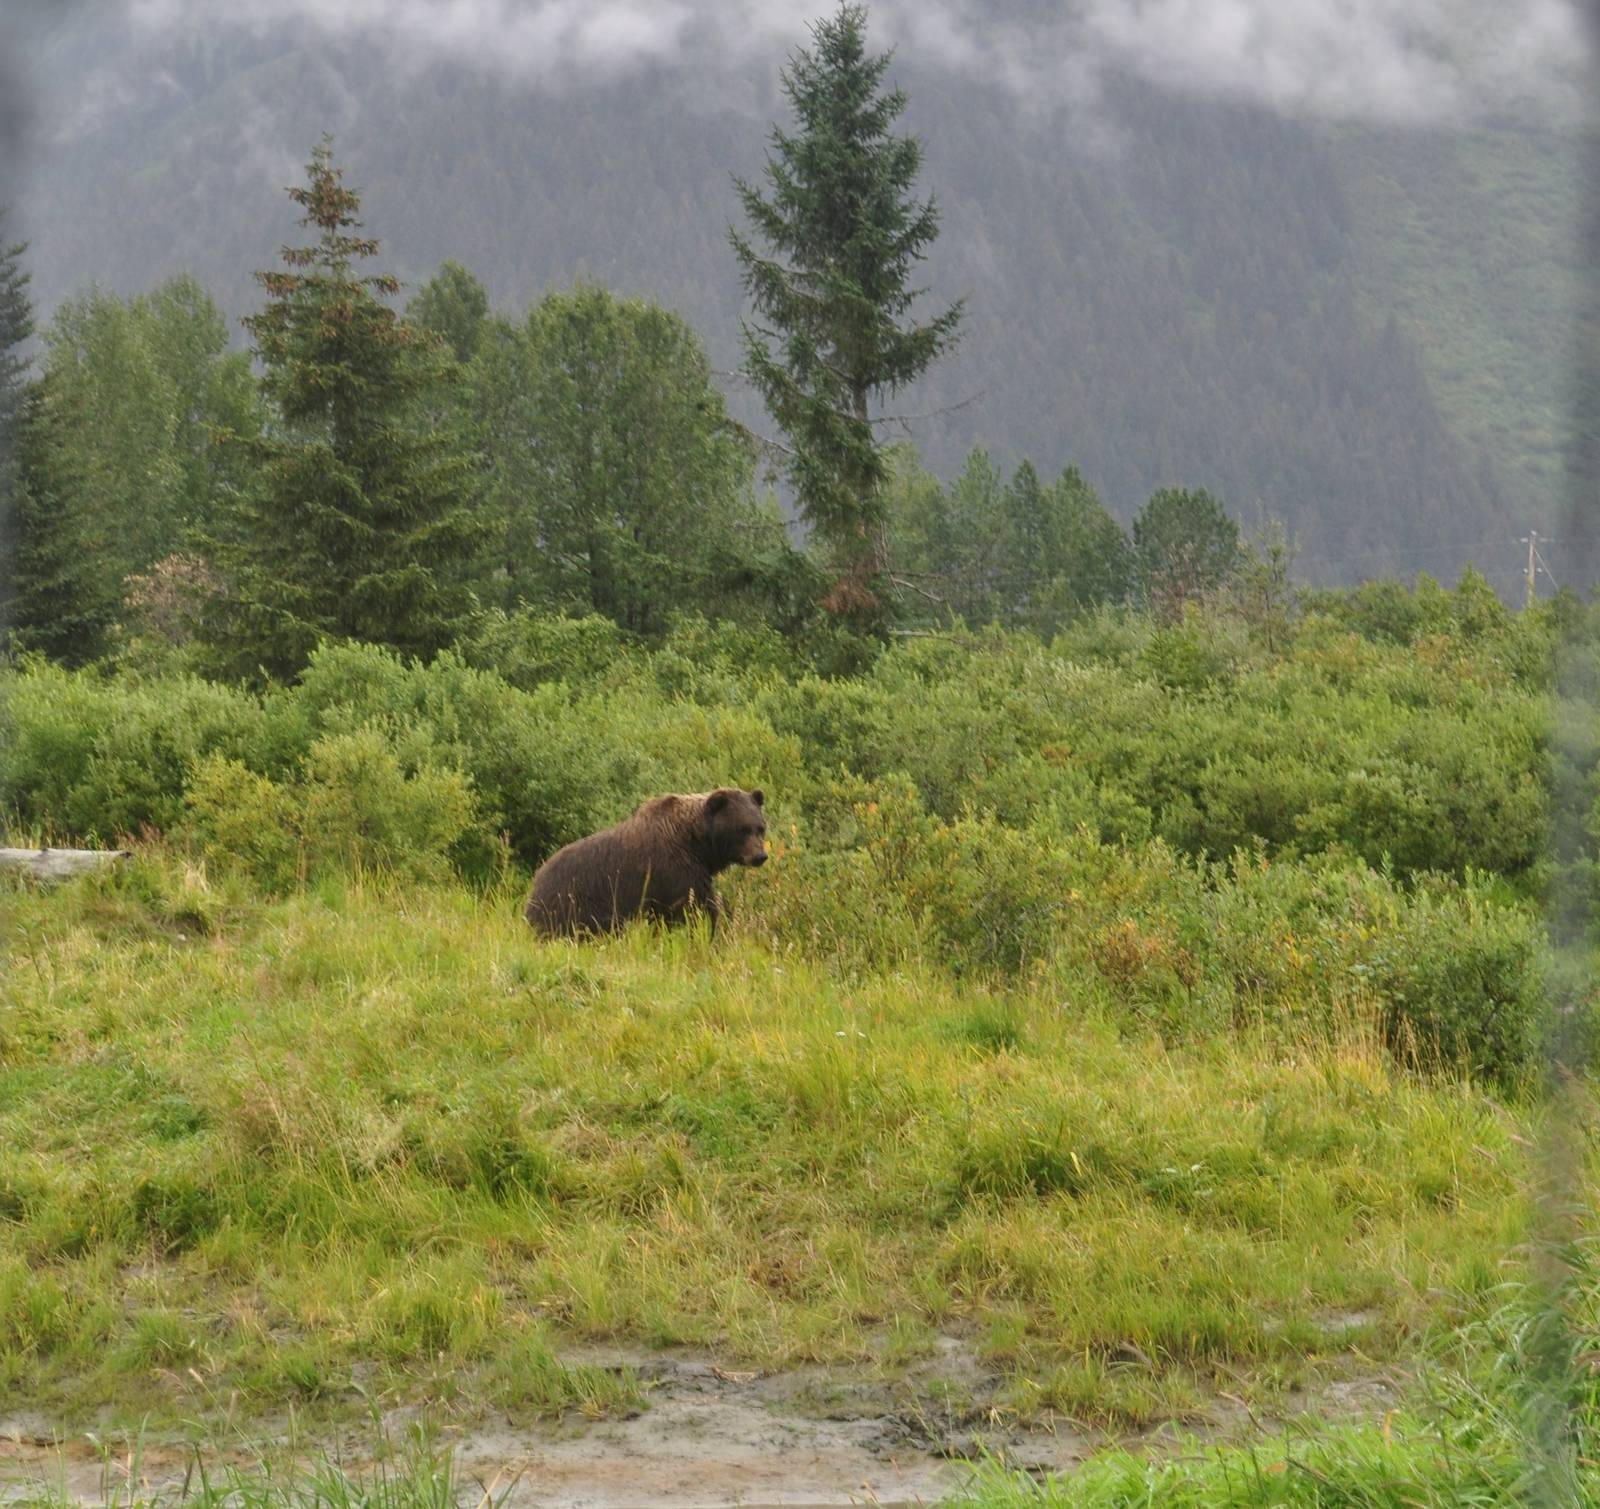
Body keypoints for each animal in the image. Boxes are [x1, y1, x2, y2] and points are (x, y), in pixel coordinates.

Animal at [525, 788, 768, 938]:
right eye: (742, 829)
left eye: (760, 827)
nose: (760, 856)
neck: (698, 845)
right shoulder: (675, 871)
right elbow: (694, 908)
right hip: (574, 903)